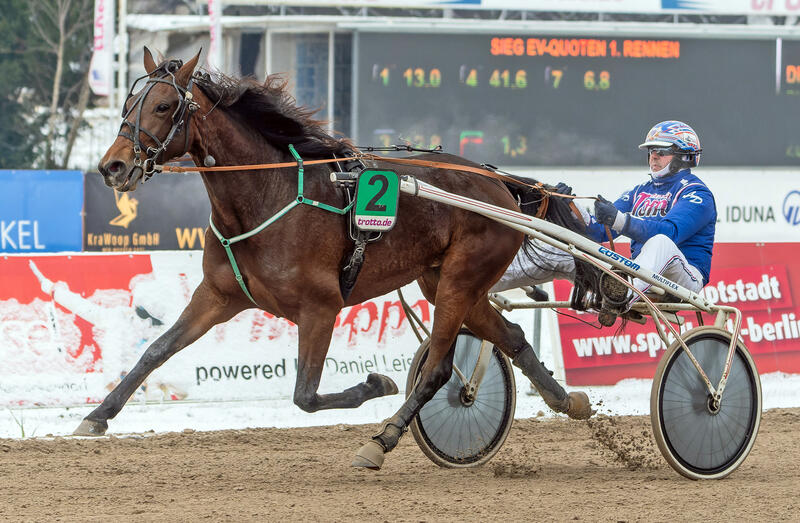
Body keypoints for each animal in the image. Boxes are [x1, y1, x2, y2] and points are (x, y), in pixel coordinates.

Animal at [87, 47, 592, 468]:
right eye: (128, 105)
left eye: (163, 106)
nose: (112, 166)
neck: (267, 195)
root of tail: (499, 183)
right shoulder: (218, 296)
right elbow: (156, 350)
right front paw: (98, 414)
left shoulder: (320, 307)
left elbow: (305, 396)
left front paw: (376, 384)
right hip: (446, 282)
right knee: (510, 337)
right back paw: (568, 401)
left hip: (460, 280)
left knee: (438, 368)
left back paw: (382, 439)